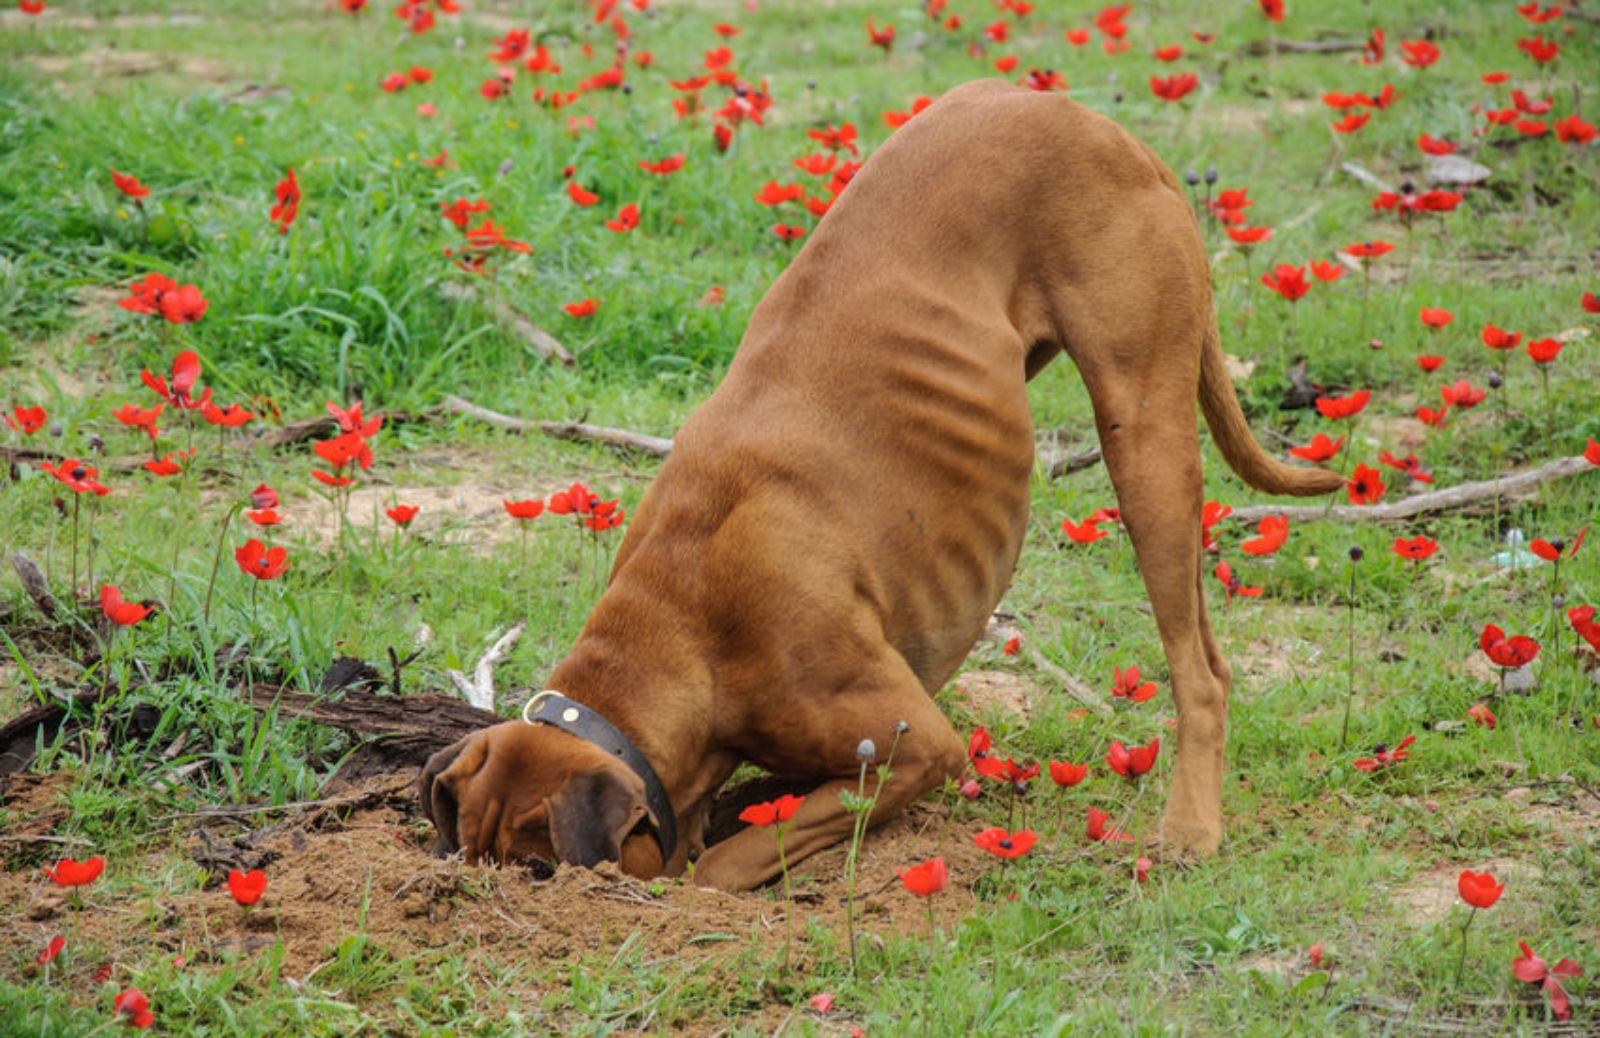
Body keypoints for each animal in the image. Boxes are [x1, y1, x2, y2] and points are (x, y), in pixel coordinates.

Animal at [419, 80, 1344, 889]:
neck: (684, 622)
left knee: (1201, 669)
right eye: (468, 860)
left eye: (538, 872)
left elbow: (731, 862)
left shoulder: (917, 746)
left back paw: (1190, 829)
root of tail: (1089, 119)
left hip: (1144, 439)